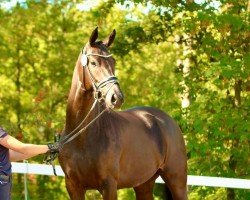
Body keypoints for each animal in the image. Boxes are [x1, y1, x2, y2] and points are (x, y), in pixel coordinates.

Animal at [58, 27, 188, 199]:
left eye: (113, 62)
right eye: (93, 62)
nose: (116, 97)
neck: (82, 136)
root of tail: (167, 121)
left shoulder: (109, 185)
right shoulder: (73, 186)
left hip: (177, 180)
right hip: (143, 183)